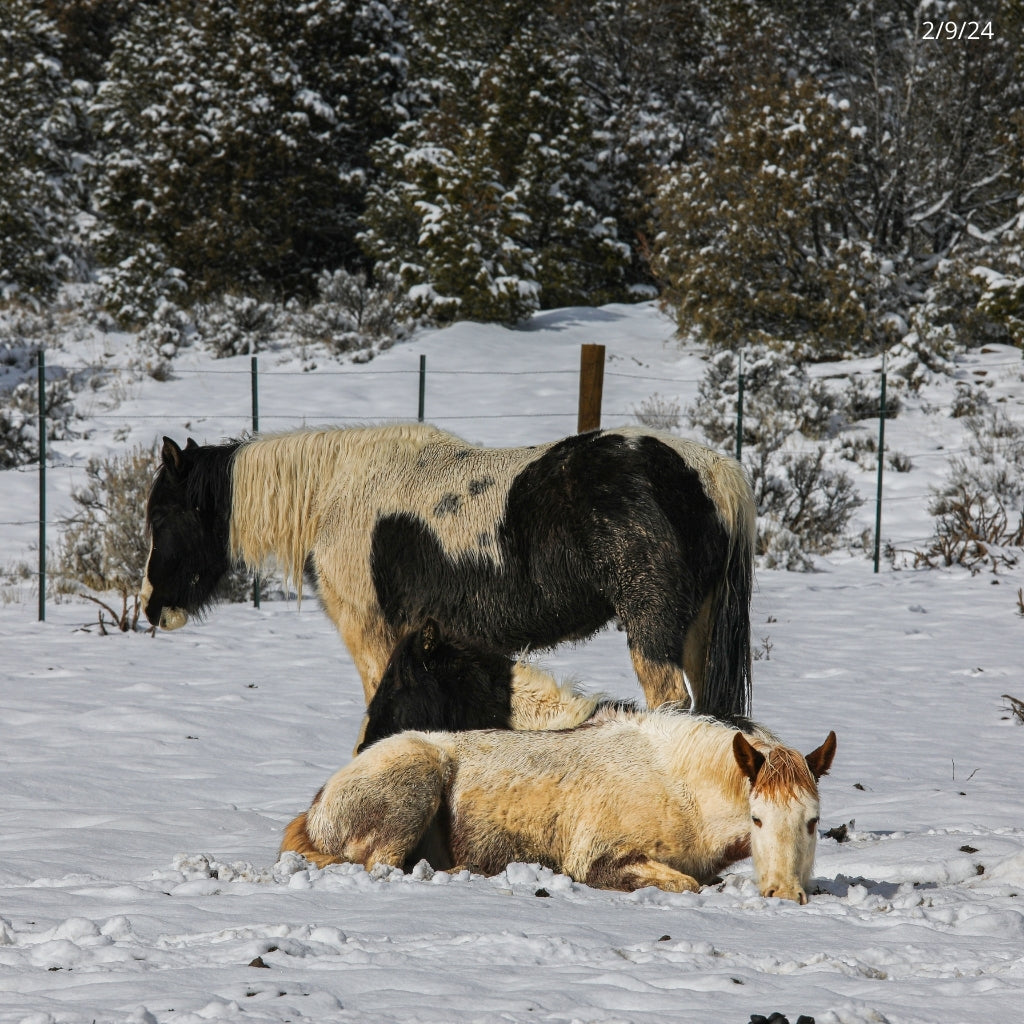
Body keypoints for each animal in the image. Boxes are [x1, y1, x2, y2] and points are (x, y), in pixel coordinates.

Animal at [140, 421, 757, 712]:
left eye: (161, 515)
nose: (151, 607)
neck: (335, 493)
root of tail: (710, 471)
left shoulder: (373, 635)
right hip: (698, 632)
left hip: (653, 627)